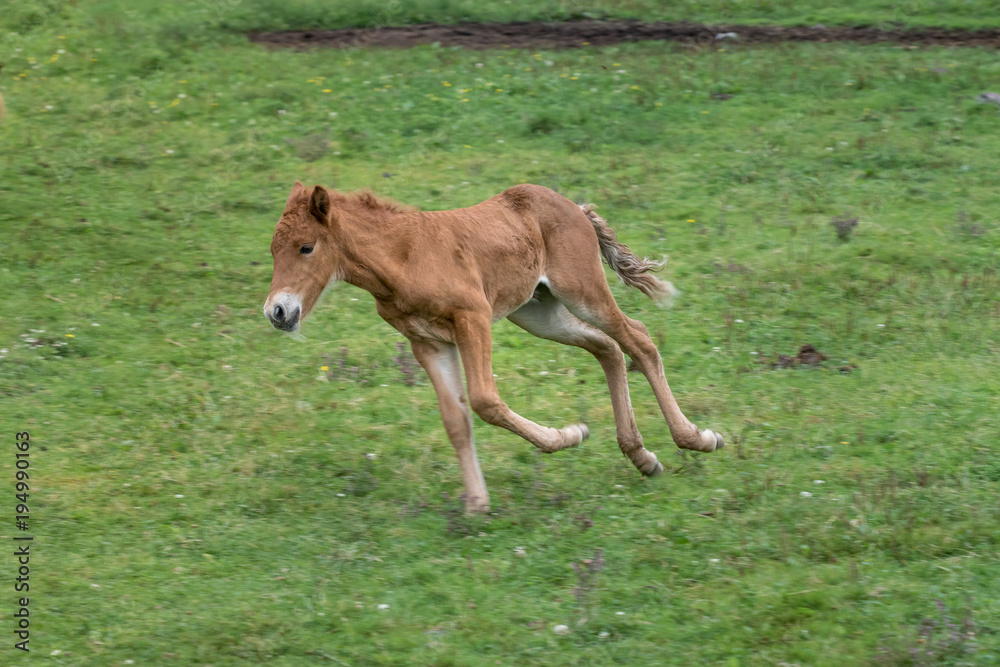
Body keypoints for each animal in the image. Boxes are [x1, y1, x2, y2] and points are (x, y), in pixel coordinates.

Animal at [262, 181, 724, 512]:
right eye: (272, 250)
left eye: (306, 247)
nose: (277, 312)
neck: (403, 256)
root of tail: (574, 207)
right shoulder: (426, 343)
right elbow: (455, 420)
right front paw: (476, 504)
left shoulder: (473, 318)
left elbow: (484, 400)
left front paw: (567, 435)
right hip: (540, 313)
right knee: (608, 348)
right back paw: (642, 456)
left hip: (582, 292)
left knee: (638, 339)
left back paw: (696, 438)